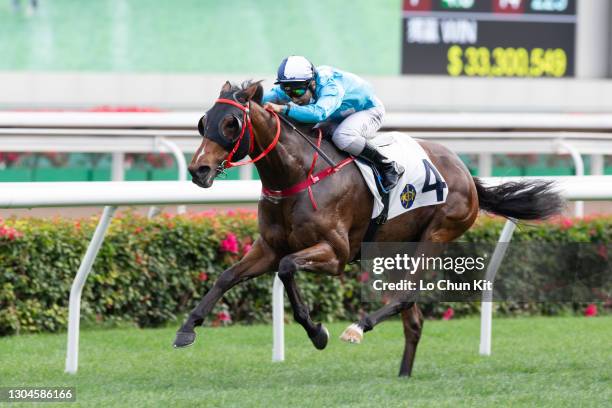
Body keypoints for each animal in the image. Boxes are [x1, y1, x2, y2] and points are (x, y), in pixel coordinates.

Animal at [173, 79, 564, 376]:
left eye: (231, 124)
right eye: (204, 121)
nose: (198, 170)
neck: (298, 174)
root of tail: (466, 174)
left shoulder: (335, 254)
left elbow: (286, 269)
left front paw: (318, 332)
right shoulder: (267, 247)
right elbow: (226, 277)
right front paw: (186, 330)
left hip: (436, 235)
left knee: (405, 297)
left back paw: (357, 328)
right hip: (394, 251)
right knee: (413, 318)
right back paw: (403, 376)